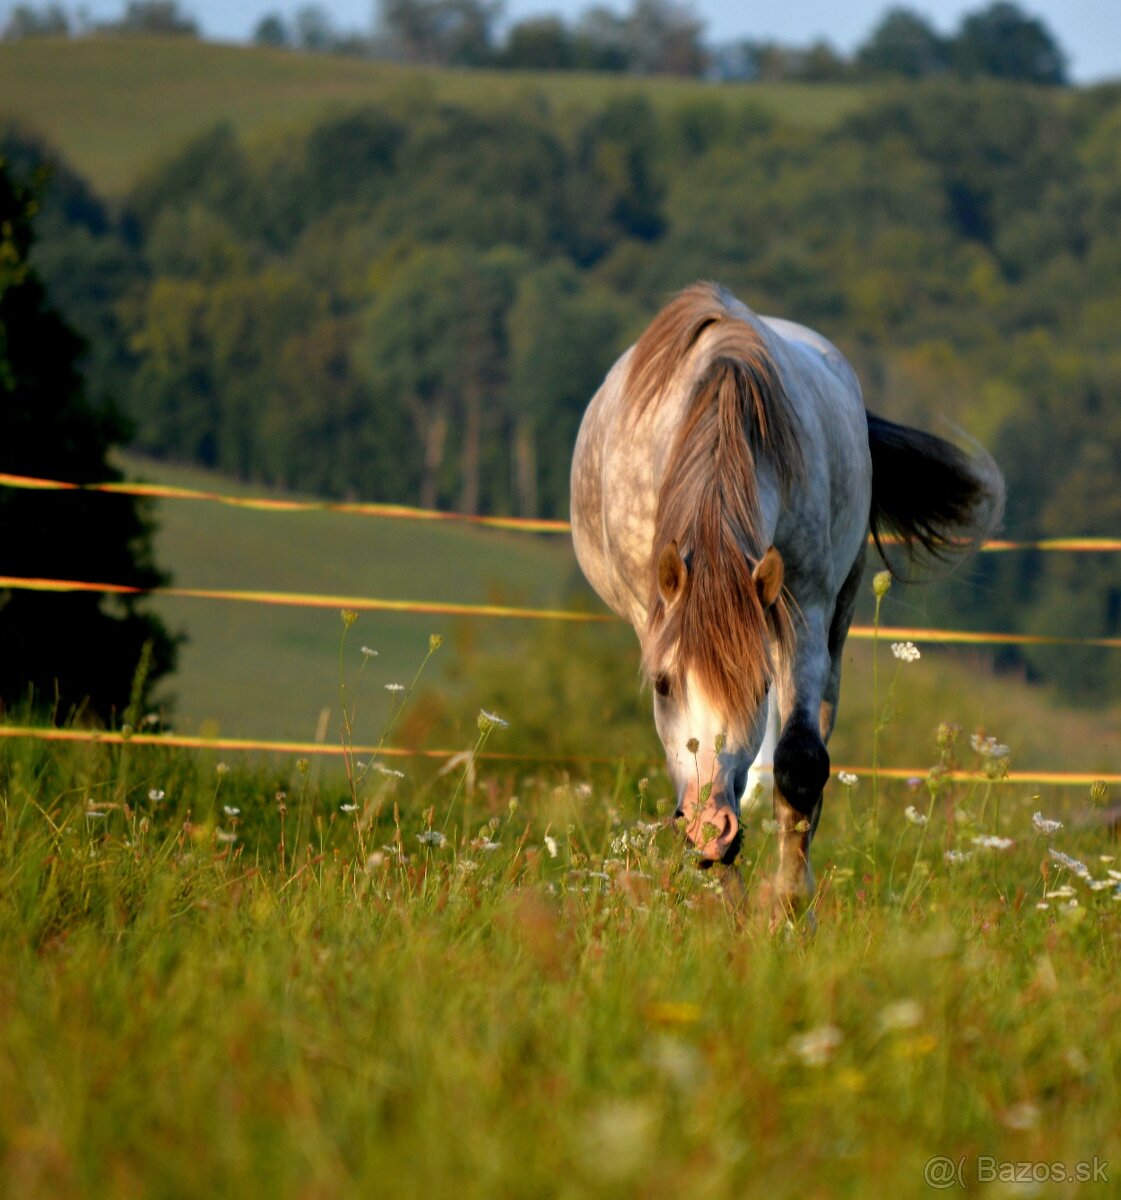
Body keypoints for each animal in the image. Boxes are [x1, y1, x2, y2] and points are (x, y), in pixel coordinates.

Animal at [569, 282, 1003, 918]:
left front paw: (792, 910)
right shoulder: (656, 621)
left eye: (757, 687)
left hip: (834, 622)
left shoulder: (806, 608)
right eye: (663, 685)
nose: (711, 832)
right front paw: (731, 909)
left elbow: (800, 765)